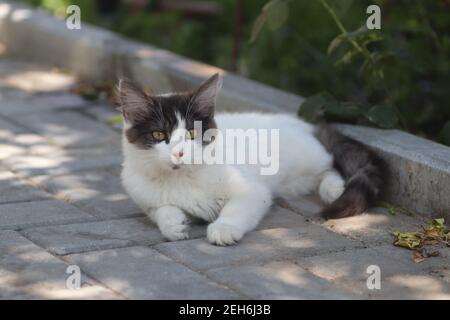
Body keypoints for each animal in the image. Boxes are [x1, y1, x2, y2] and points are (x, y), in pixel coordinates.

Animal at [118, 74, 384, 246]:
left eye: (192, 133)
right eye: (158, 135)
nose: (178, 152)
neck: (180, 177)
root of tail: (302, 123)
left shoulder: (253, 190)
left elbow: (237, 207)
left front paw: (224, 228)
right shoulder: (145, 198)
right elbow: (162, 210)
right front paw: (174, 225)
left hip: (302, 159)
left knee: (329, 165)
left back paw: (335, 189)